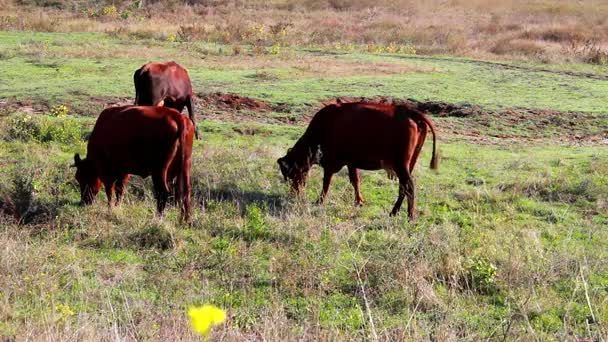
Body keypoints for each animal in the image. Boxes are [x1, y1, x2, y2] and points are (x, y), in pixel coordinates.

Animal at [278, 101, 440, 222]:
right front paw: (359, 201)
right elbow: (355, 181)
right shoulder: (351, 162)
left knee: (409, 186)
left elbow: (326, 183)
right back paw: (394, 212)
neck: (325, 125)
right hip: (407, 165)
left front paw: (319, 201)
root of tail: (407, 111)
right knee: (403, 188)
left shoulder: (330, 163)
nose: (294, 192)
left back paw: (410, 217)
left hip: (401, 165)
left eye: (292, 173)